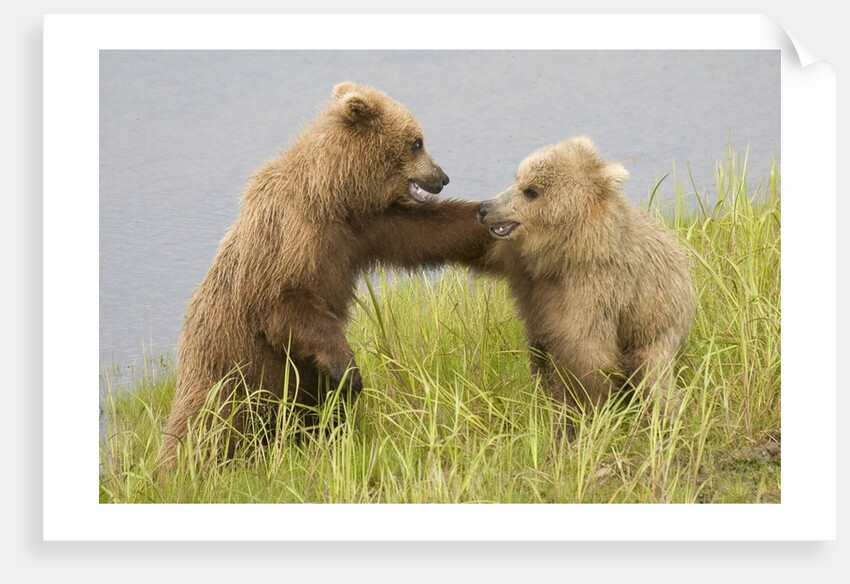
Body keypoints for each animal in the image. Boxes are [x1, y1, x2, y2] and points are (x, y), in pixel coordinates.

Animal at [156, 82, 491, 472]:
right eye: (417, 142)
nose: (442, 177)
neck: (332, 196)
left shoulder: (364, 229)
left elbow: (428, 232)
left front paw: (491, 214)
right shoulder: (289, 239)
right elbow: (286, 306)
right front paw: (349, 369)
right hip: (226, 373)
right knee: (205, 427)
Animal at [476, 136, 694, 424]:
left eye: (530, 191)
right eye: (517, 179)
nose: (484, 207)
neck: (570, 253)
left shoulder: (596, 288)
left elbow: (587, 351)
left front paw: (584, 409)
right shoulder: (527, 270)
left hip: (654, 325)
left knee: (653, 379)